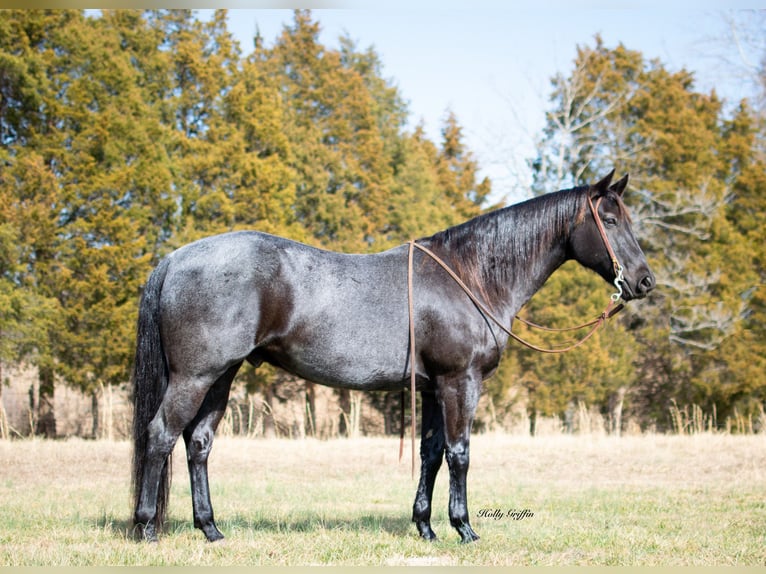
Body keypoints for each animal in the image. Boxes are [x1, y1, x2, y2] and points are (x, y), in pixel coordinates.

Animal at [130, 170, 656, 544]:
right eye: (610, 221)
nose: (644, 281)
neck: (472, 275)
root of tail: (175, 258)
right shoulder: (459, 382)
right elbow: (460, 454)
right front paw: (465, 528)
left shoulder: (433, 387)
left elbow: (431, 455)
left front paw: (426, 527)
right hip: (194, 376)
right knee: (160, 436)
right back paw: (147, 527)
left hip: (220, 376)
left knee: (198, 443)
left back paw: (210, 529)